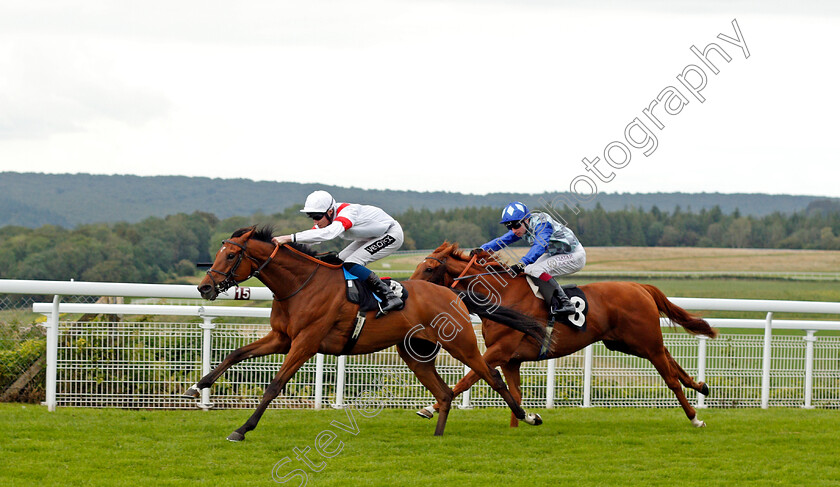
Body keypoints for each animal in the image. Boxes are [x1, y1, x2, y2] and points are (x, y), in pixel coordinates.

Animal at [187, 227, 548, 440]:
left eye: (230, 254)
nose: (204, 287)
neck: (300, 285)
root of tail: (453, 293)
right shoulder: (282, 338)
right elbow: (235, 354)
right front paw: (197, 386)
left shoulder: (305, 342)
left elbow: (275, 384)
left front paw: (242, 429)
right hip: (415, 353)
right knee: (445, 392)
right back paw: (438, 435)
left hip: (461, 345)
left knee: (492, 376)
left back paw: (528, 417)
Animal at [410, 242, 720, 428]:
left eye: (429, 267)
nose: (409, 291)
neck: (502, 296)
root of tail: (639, 286)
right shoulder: (512, 359)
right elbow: (514, 393)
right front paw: (525, 420)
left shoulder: (500, 350)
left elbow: (469, 378)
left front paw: (429, 408)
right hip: (625, 343)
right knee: (670, 358)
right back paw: (701, 385)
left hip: (644, 342)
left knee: (669, 377)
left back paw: (695, 418)